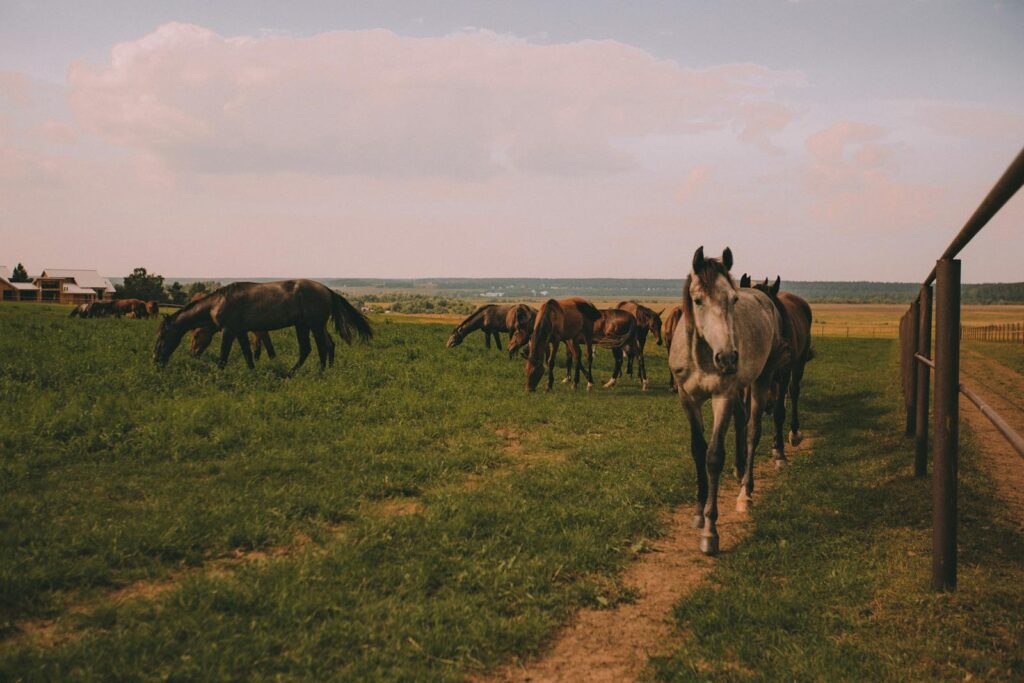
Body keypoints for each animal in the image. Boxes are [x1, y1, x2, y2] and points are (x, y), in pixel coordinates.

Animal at [155, 280, 371, 374]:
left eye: (163, 336)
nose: (156, 360)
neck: (217, 302)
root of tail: (327, 290)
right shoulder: (241, 332)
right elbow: (248, 354)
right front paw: (252, 373)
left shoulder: (228, 331)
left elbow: (223, 357)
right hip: (303, 326)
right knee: (310, 349)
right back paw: (291, 373)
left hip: (315, 326)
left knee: (321, 349)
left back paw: (318, 373)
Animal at [669, 247, 785, 555]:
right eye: (698, 300)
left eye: (733, 299)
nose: (728, 358)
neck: (702, 357)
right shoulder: (688, 399)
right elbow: (698, 449)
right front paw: (698, 512)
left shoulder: (722, 397)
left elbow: (713, 456)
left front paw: (710, 531)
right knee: (743, 424)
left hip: (761, 380)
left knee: (753, 432)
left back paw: (746, 493)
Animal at [747, 276, 815, 462]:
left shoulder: (784, 374)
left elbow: (779, 411)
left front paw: (778, 450)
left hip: (798, 365)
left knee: (794, 391)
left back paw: (794, 432)